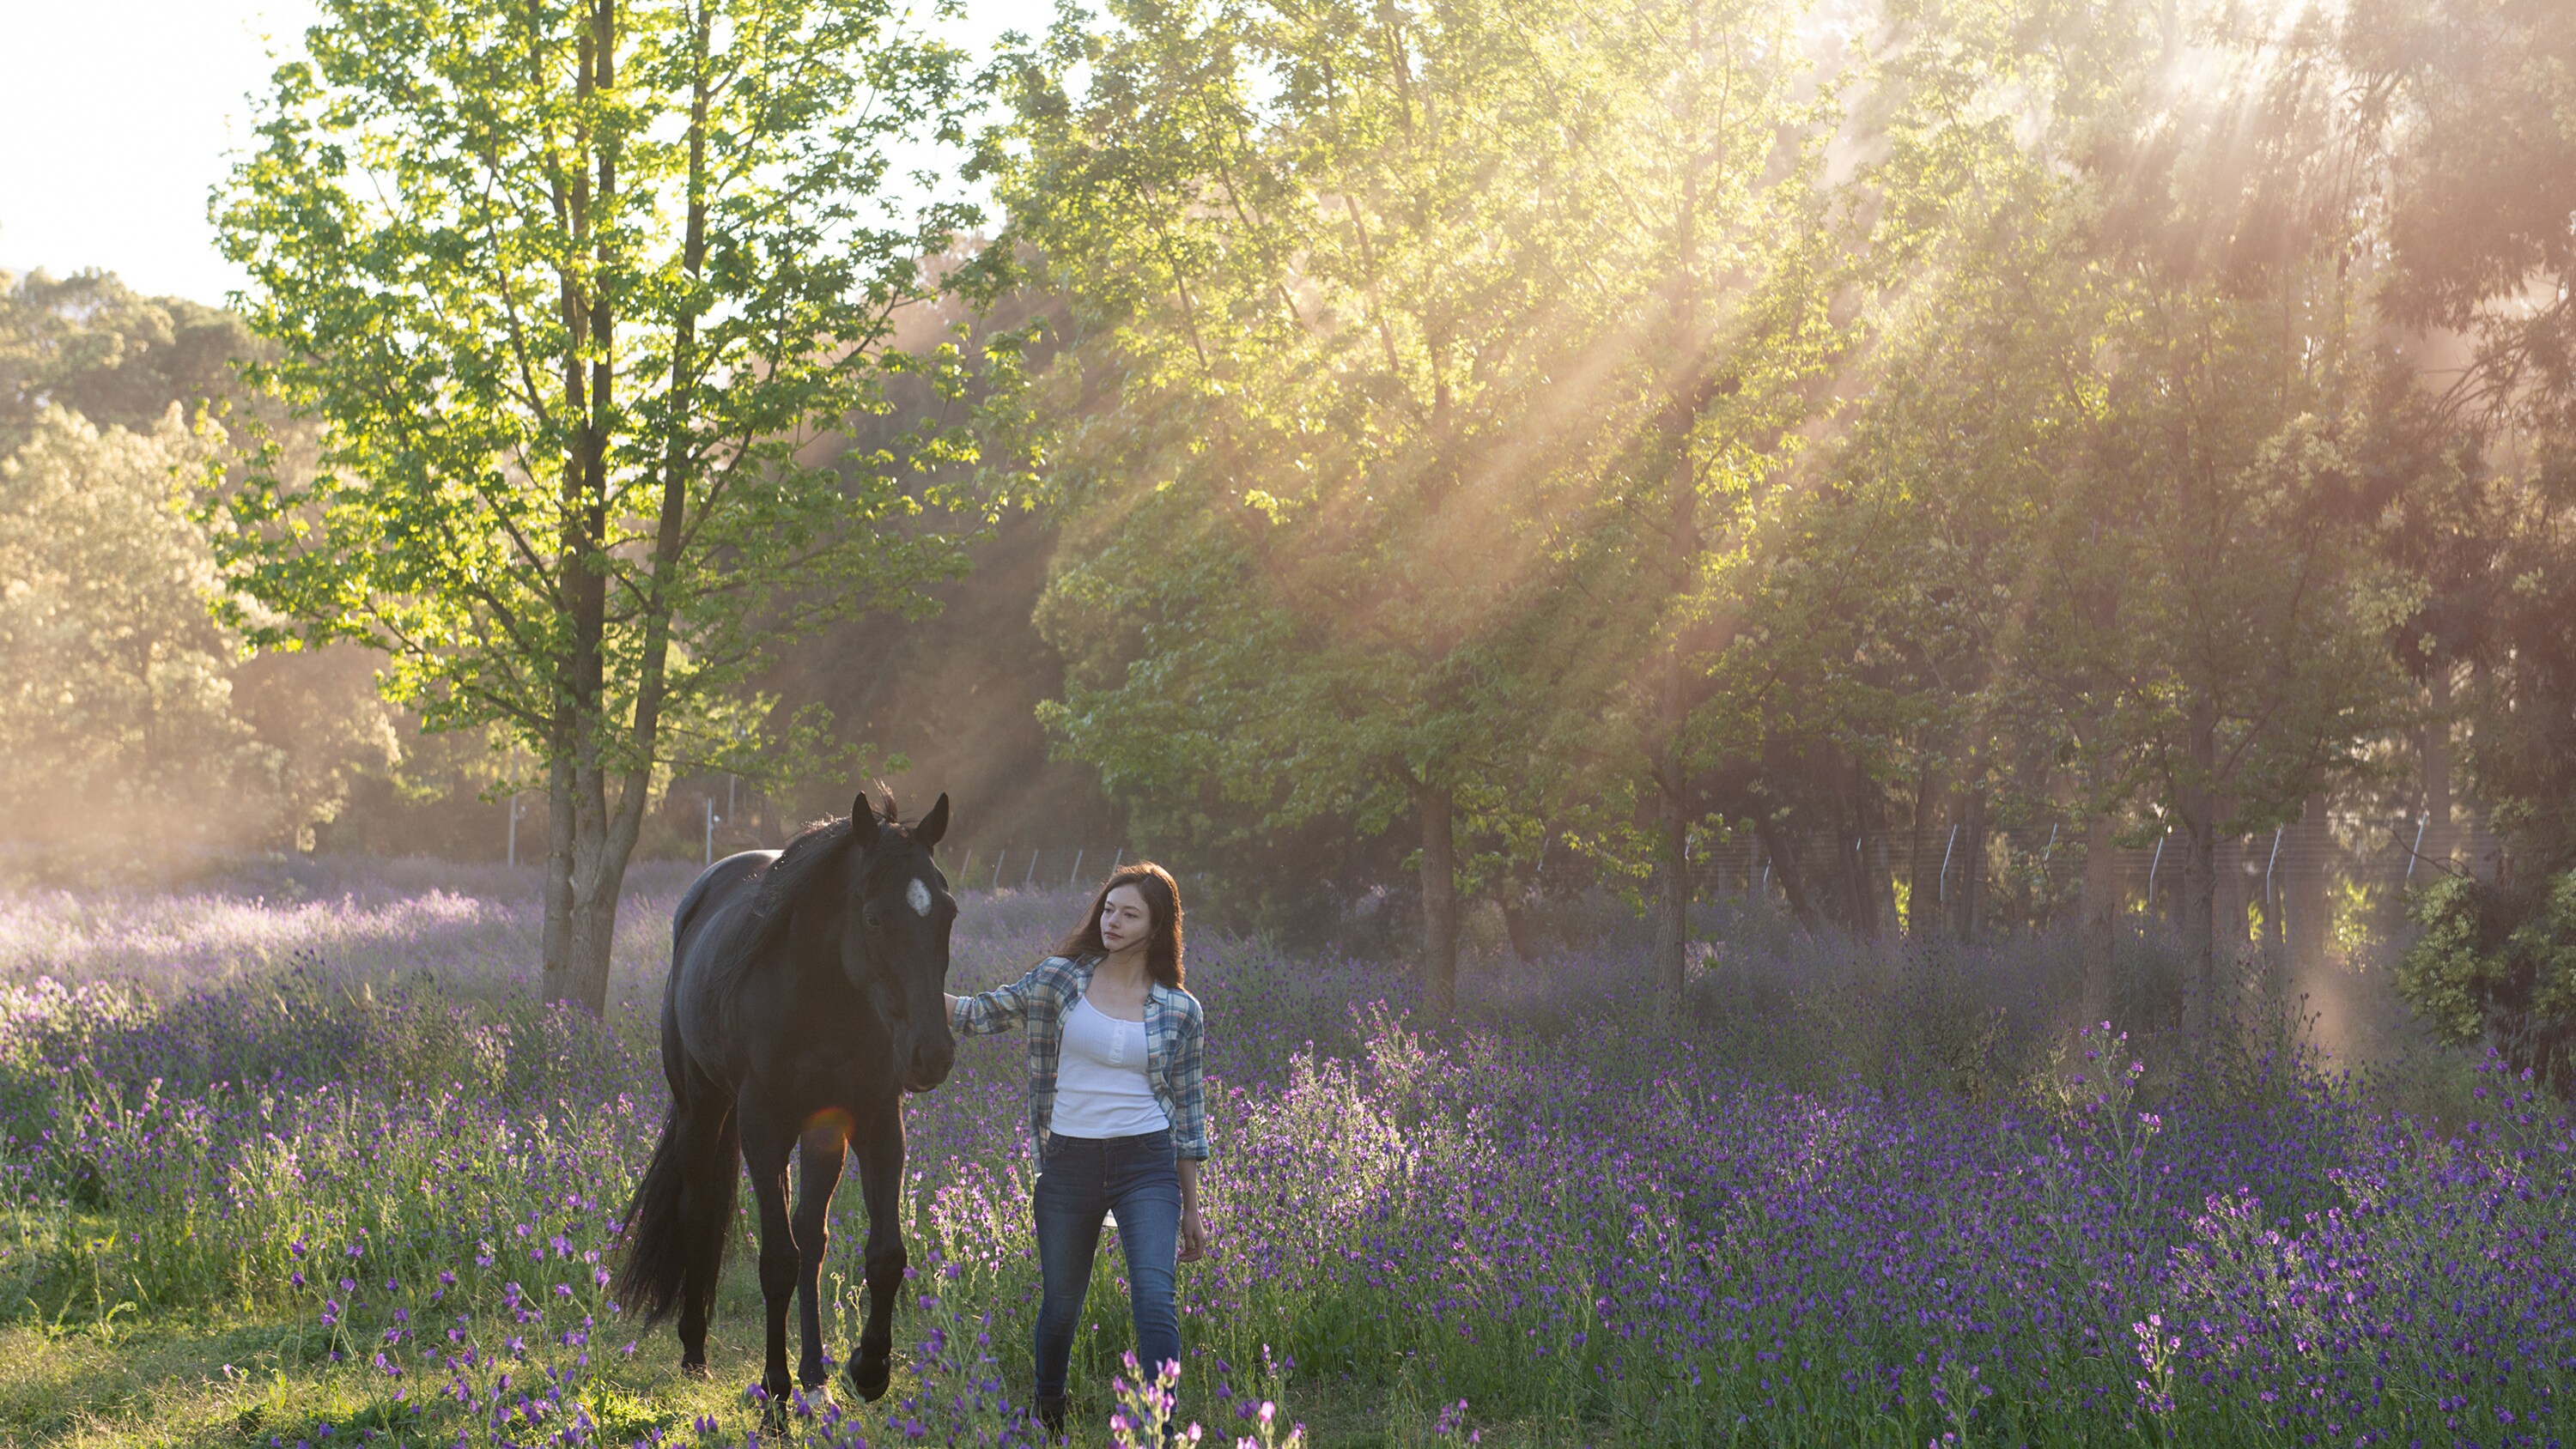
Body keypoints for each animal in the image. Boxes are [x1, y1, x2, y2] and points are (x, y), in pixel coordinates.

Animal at [613, 792, 958, 1421]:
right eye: (874, 918)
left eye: (947, 913)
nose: (932, 1054)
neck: (825, 997)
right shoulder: (763, 1125)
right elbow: (776, 1258)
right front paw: (774, 1389)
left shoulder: (874, 1121)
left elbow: (883, 1254)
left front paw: (868, 1368)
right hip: (702, 1109)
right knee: (699, 1213)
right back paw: (696, 1350)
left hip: (822, 1134)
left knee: (811, 1241)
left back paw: (816, 1374)